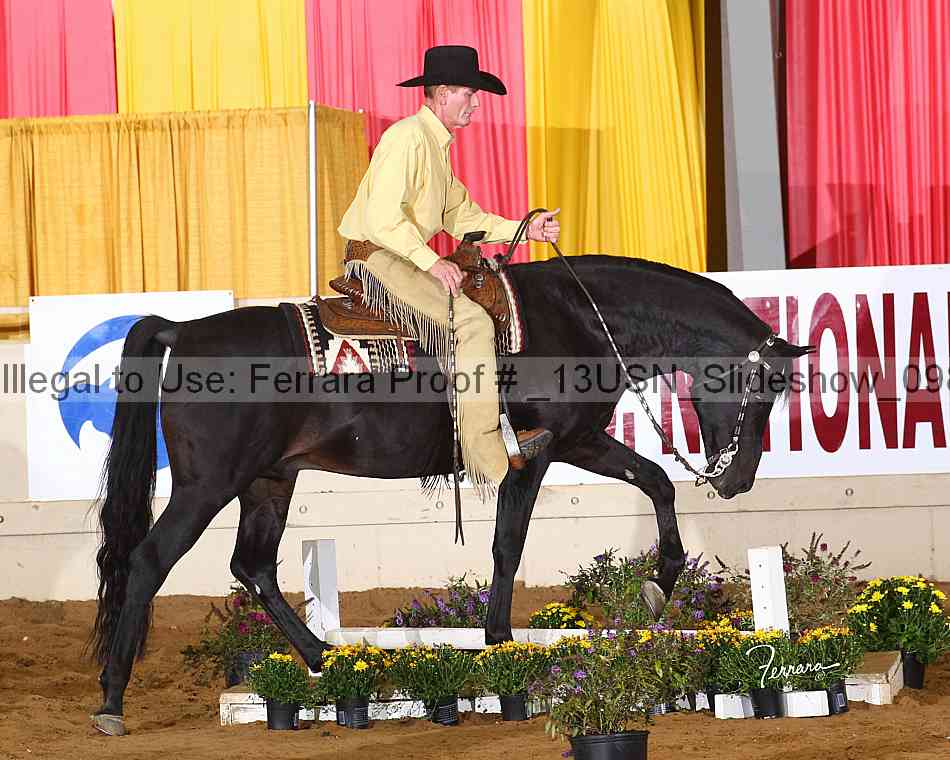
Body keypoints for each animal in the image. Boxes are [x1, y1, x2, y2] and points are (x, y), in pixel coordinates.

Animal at [88, 253, 810, 735]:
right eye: (763, 390)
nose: (738, 478)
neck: (574, 318)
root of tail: (183, 332)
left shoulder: (580, 440)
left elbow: (655, 480)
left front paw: (658, 584)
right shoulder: (543, 450)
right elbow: (509, 544)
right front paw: (499, 640)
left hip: (269, 479)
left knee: (254, 566)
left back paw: (328, 659)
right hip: (208, 484)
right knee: (150, 561)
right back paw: (112, 701)